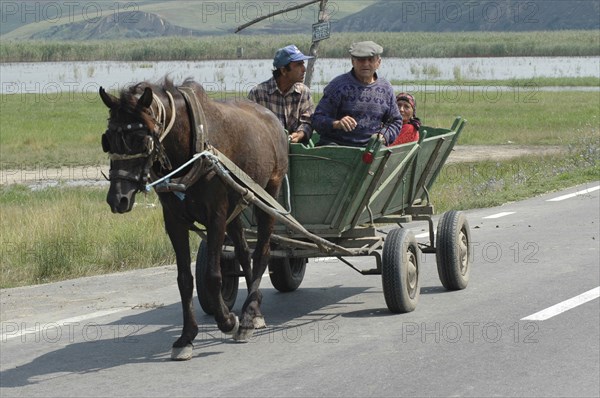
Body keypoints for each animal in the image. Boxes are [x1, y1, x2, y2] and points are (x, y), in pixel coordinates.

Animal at [99, 77, 290, 360]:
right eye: (108, 139)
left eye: (140, 139)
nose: (118, 199)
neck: (191, 146)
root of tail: (272, 119)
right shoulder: (174, 221)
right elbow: (184, 280)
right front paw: (186, 337)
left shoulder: (216, 216)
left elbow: (213, 275)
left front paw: (227, 321)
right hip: (237, 205)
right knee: (244, 252)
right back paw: (254, 310)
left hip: (268, 196)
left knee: (262, 252)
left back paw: (247, 317)